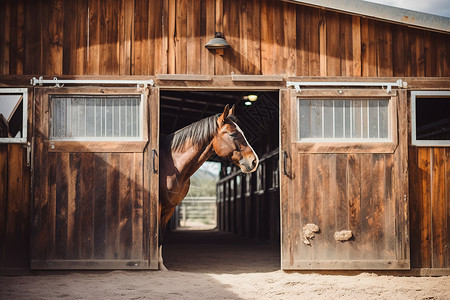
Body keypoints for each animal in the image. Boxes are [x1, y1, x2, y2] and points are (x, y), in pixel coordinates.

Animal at [158, 103, 258, 270]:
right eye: (233, 134)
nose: (254, 161)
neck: (170, 164)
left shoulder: (169, 208)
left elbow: (160, 235)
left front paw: (161, 266)